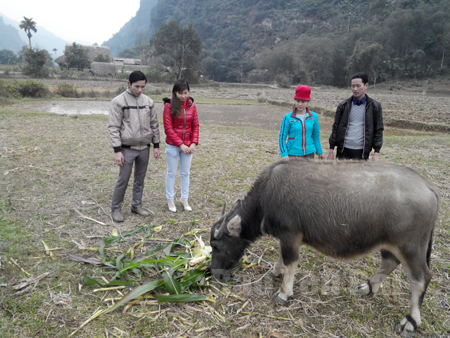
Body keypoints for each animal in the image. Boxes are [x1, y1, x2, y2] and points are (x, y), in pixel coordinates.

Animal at [211, 159, 440, 338]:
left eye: (216, 246)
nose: (214, 273)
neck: (267, 195)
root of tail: (428, 188)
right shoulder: (286, 238)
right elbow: (282, 258)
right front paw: (276, 272)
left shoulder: (291, 235)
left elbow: (289, 261)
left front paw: (284, 293)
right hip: (389, 244)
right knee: (389, 262)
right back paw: (368, 287)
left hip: (411, 247)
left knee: (421, 278)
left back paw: (410, 322)